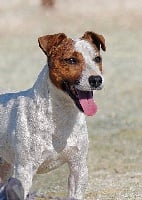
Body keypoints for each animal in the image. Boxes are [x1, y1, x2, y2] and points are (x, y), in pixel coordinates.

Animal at [0, 30, 105, 198]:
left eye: (97, 59)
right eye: (71, 60)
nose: (96, 79)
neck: (61, 115)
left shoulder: (78, 166)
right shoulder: (24, 171)